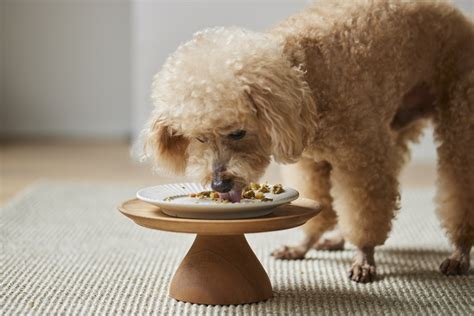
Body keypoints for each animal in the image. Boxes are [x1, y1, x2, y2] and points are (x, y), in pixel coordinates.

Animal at [143, 0, 472, 282]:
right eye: (199, 138)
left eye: (238, 132)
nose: (219, 185)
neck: (306, 82)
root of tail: (458, 16)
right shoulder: (311, 162)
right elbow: (320, 205)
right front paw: (304, 246)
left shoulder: (362, 159)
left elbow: (364, 211)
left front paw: (364, 257)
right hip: (395, 128)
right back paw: (337, 239)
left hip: (458, 116)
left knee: (458, 184)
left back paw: (459, 253)